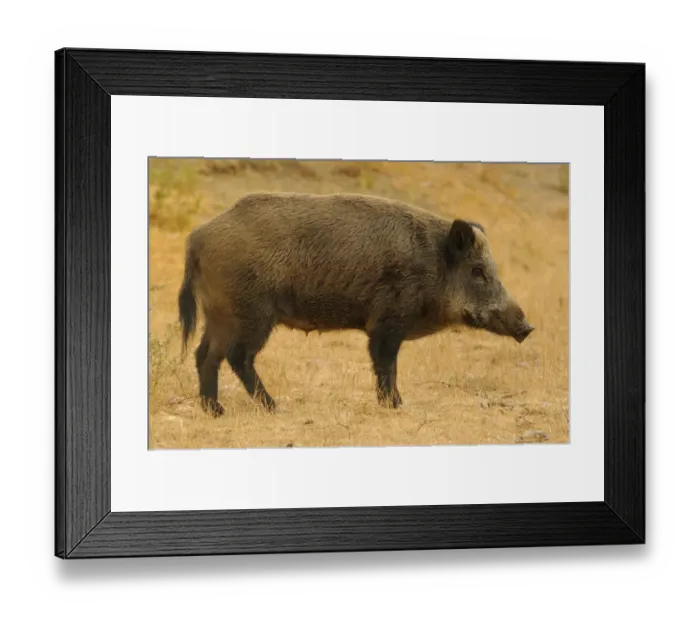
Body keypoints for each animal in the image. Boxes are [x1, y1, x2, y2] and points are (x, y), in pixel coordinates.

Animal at [178, 192, 534, 416]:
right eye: (478, 271)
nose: (527, 327)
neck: (433, 266)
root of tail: (197, 237)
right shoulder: (387, 322)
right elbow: (386, 365)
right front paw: (396, 406)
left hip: (219, 314)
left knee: (203, 354)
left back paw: (216, 410)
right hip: (249, 313)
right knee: (236, 356)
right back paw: (272, 407)